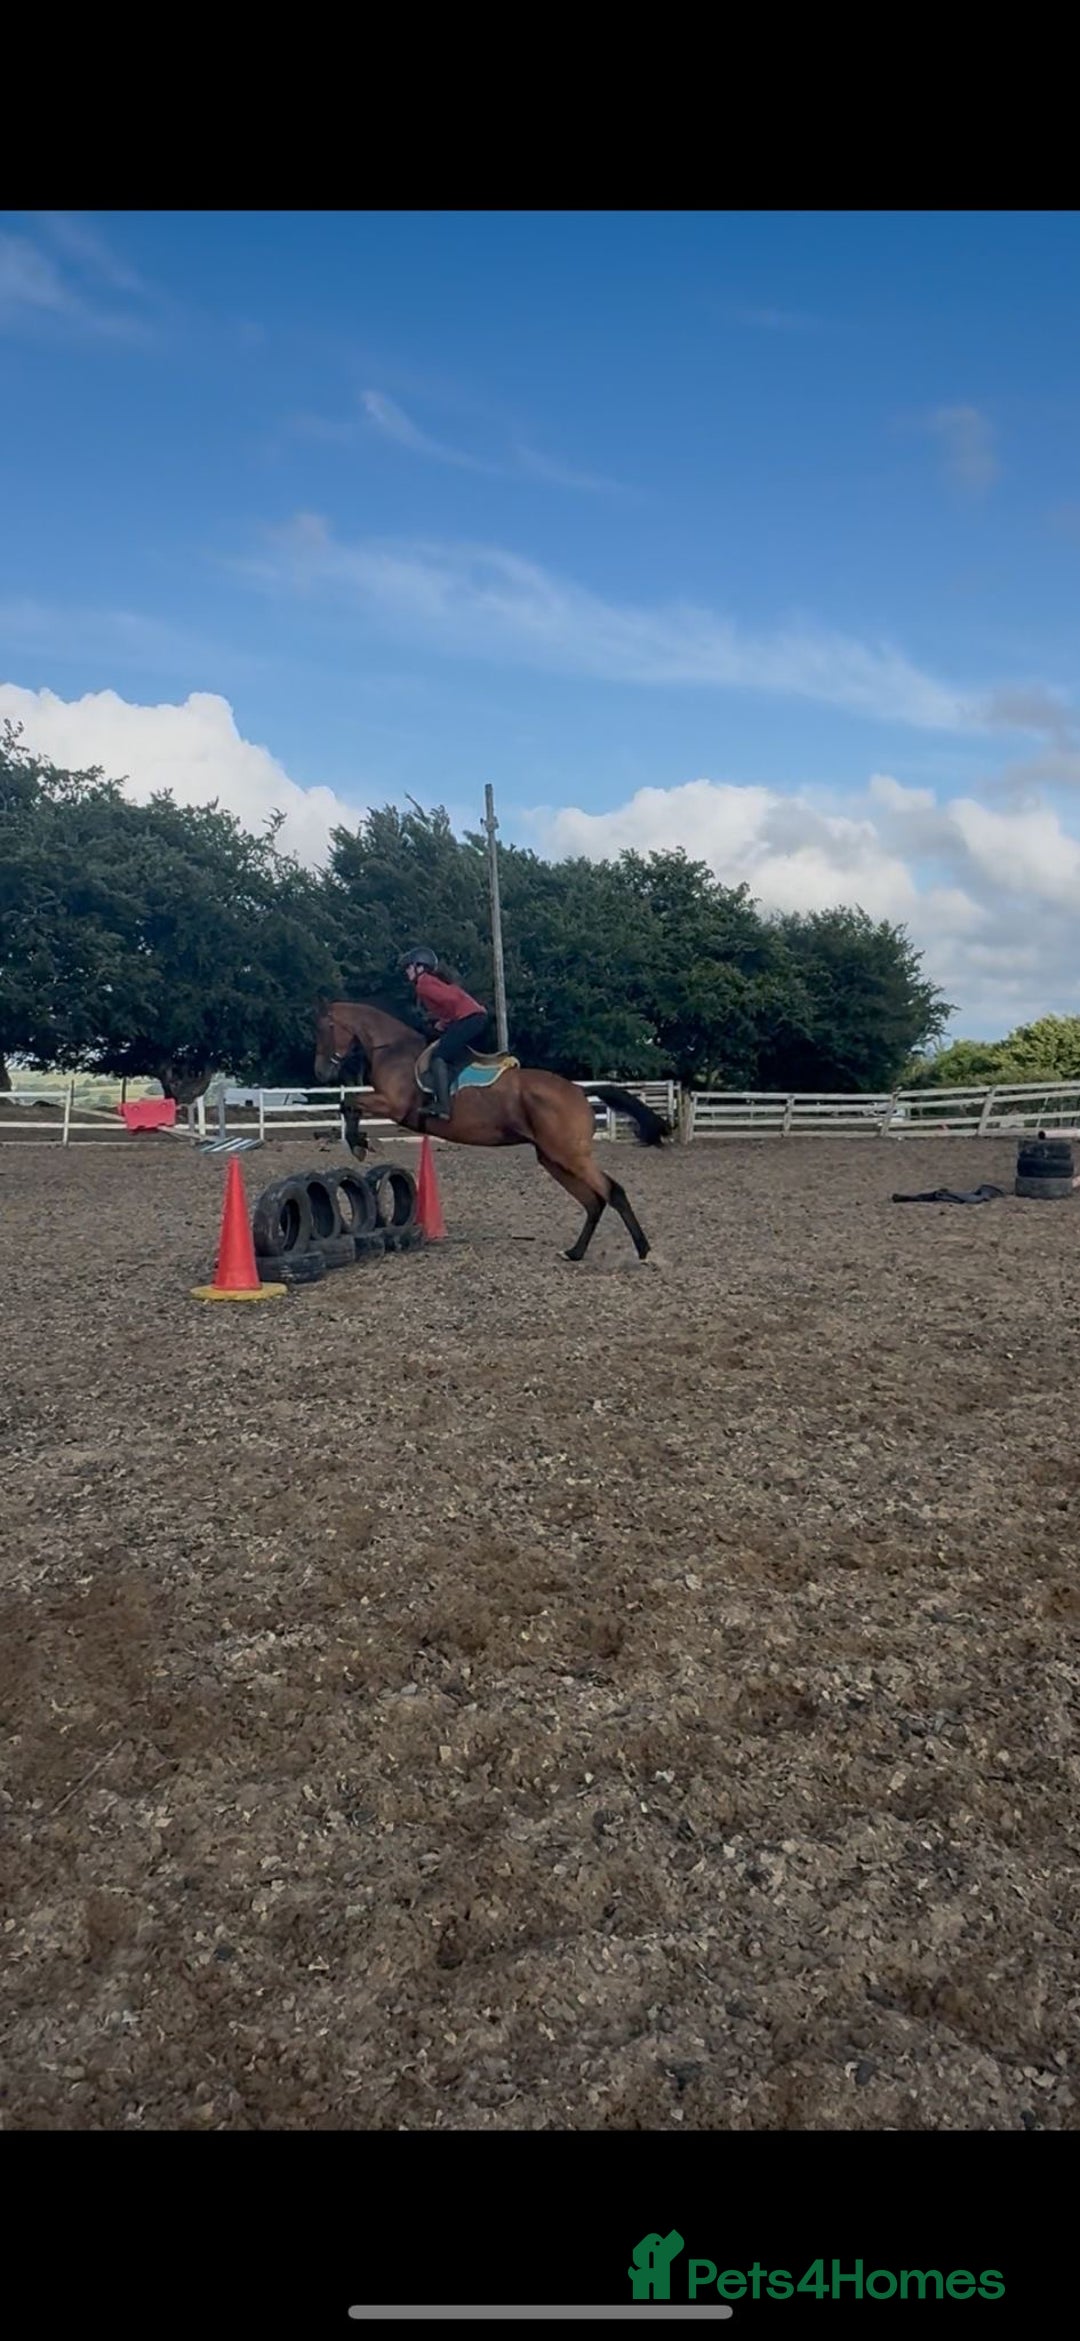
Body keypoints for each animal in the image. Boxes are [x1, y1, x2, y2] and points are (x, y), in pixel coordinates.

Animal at [313, 998, 670, 1262]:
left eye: (325, 1028)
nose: (321, 1072)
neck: (392, 1049)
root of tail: (581, 1092)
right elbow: (348, 1104)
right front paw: (358, 1141)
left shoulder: (393, 1105)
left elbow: (349, 1103)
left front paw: (357, 1142)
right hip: (554, 1158)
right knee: (594, 1201)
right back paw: (575, 1252)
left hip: (570, 1155)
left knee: (612, 1192)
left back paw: (644, 1251)